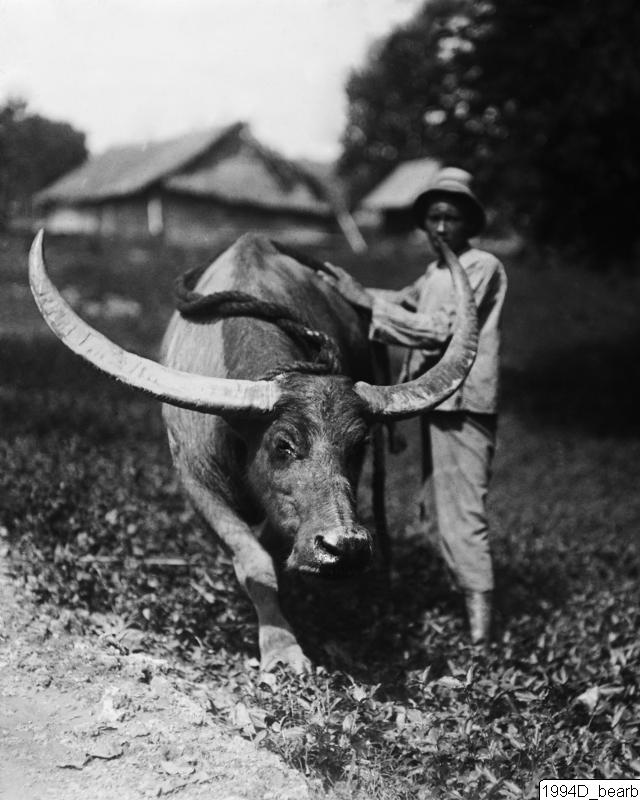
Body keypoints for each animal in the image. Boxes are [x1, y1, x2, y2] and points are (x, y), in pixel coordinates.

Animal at [28, 231, 478, 673]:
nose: (346, 546)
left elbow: (273, 552)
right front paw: (281, 648)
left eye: (358, 445)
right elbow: (253, 559)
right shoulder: (196, 481)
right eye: (284, 444)